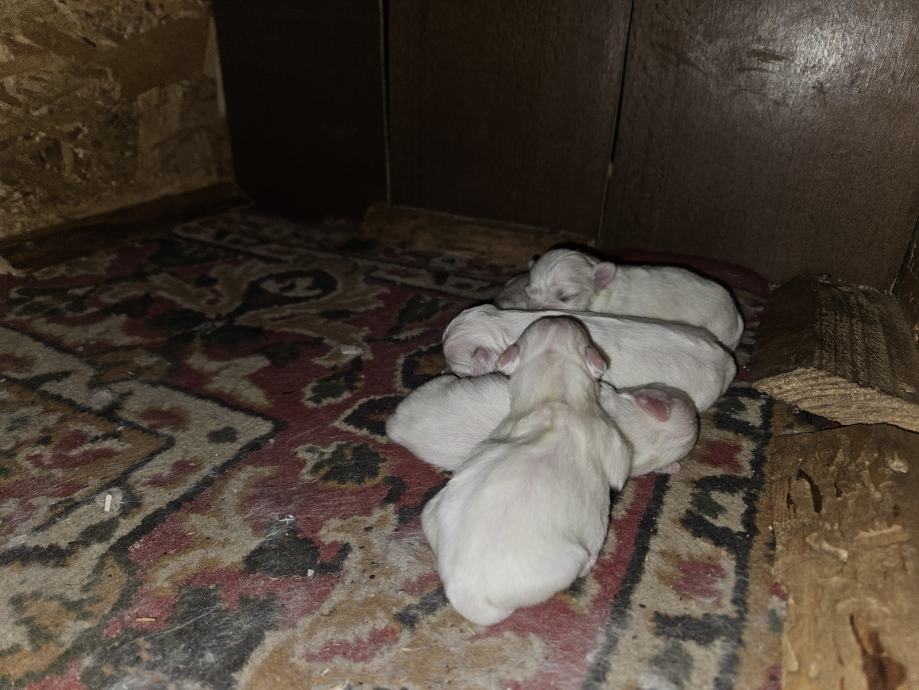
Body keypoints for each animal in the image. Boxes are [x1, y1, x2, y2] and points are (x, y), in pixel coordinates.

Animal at [421, 316, 631, 626]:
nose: (558, 317)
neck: (554, 400)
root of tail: (465, 593)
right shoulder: (612, 440)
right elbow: (621, 469)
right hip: (567, 559)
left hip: (431, 510)